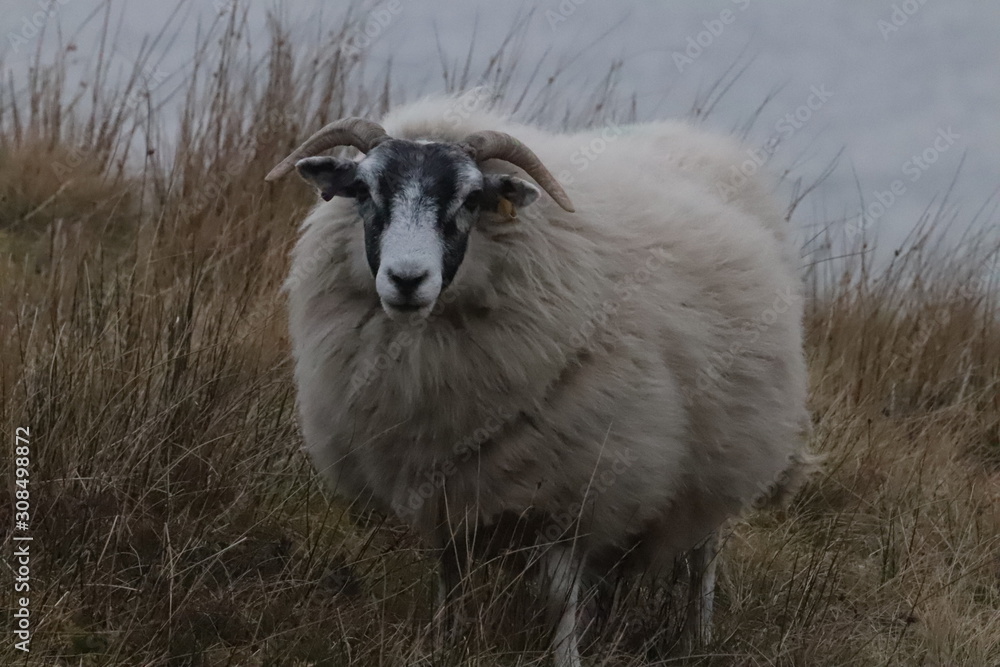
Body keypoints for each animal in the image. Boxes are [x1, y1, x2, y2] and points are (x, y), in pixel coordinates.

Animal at [266, 93, 816, 666]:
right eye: (363, 190)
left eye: (471, 198)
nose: (406, 279)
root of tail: (699, 138)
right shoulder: (446, 484)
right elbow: (450, 578)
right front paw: (446, 640)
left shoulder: (574, 487)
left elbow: (558, 597)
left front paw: (567, 656)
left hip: (727, 447)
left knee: (704, 555)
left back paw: (697, 635)